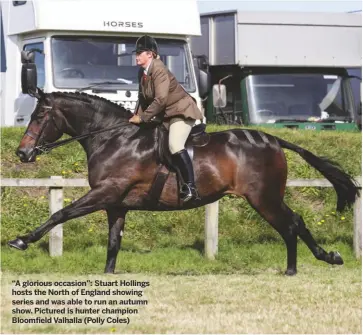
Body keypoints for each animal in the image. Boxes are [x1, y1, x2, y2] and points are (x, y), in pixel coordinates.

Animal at [9, 89, 362, 276]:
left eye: (39, 117)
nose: (22, 152)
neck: (113, 138)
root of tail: (273, 139)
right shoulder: (115, 204)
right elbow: (113, 242)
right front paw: (109, 275)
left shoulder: (104, 192)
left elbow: (60, 214)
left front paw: (21, 240)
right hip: (268, 197)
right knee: (294, 223)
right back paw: (314, 261)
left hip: (263, 198)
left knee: (291, 224)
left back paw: (304, 265)